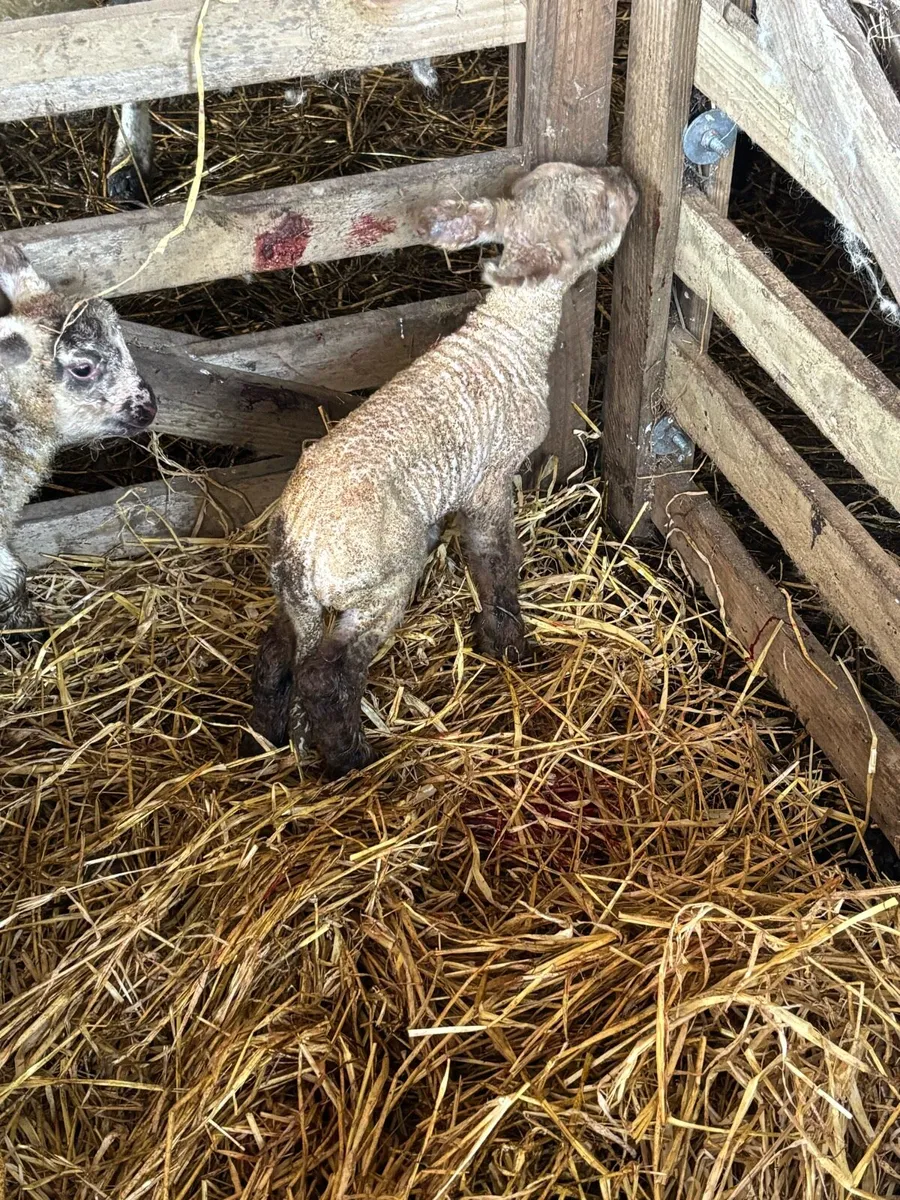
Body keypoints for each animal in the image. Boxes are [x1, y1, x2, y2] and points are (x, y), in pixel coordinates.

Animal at [242, 160, 638, 778]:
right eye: (596, 208)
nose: (628, 181)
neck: (509, 338)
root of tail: (302, 546)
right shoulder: (490, 479)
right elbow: (494, 560)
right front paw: (509, 643)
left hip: (294, 594)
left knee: (276, 654)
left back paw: (266, 736)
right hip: (381, 579)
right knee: (325, 674)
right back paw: (351, 758)